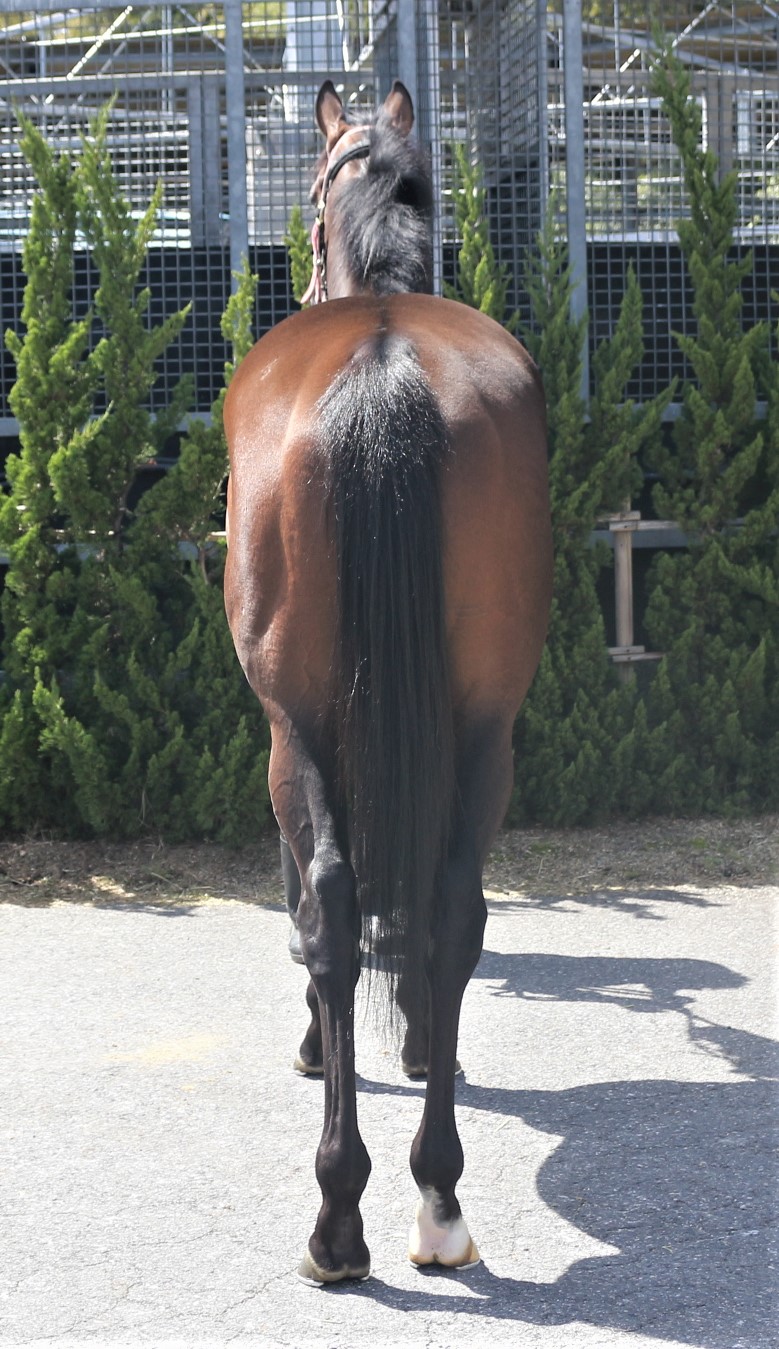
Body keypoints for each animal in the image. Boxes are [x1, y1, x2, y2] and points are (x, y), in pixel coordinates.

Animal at [223, 79, 552, 1285]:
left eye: (313, 200)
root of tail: (383, 359)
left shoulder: (285, 723)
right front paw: (413, 1036)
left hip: (296, 727)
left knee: (326, 898)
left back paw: (339, 1217)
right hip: (487, 726)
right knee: (453, 907)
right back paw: (439, 1196)